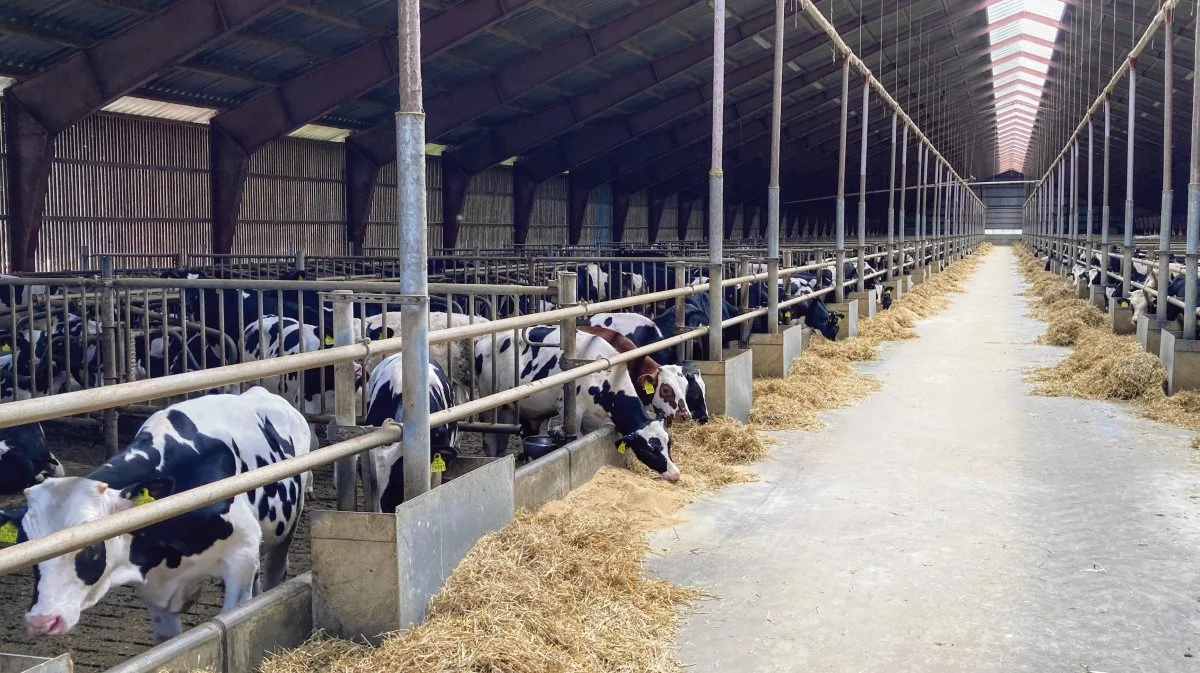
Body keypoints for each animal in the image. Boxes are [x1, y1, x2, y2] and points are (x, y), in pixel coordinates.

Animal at [472, 326, 681, 477]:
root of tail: (483, 340)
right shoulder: (569, 408)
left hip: (512, 409)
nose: (675, 474)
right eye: (648, 451)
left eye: (669, 443)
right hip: (489, 401)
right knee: (489, 438)